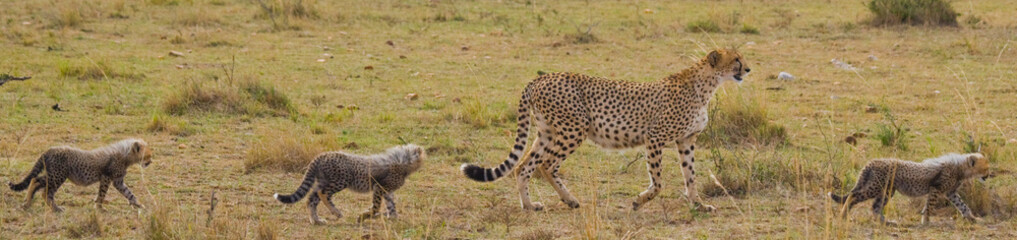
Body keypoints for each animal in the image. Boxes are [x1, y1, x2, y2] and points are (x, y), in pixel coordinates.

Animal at [461, 49, 748, 210]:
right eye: (736, 59)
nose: (748, 68)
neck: (707, 85)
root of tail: (541, 77)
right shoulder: (655, 137)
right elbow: (658, 182)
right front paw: (639, 201)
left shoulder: (687, 140)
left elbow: (690, 176)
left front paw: (698, 204)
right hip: (574, 129)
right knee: (546, 166)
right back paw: (568, 200)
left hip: (547, 133)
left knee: (523, 167)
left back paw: (531, 205)